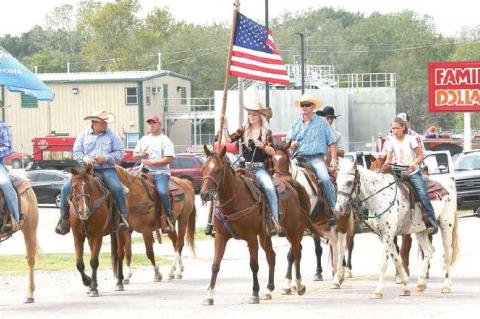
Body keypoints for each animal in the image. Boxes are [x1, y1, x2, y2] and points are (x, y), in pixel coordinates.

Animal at [68, 165, 127, 298]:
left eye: (89, 186)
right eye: (73, 187)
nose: (83, 211)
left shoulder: (97, 235)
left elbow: (94, 262)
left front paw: (93, 287)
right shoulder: (78, 236)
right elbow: (79, 264)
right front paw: (88, 282)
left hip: (120, 231)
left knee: (120, 255)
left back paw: (119, 282)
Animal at [201, 146, 310, 306]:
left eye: (219, 170)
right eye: (203, 168)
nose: (204, 194)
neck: (234, 200)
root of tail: (290, 185)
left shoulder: (251, 238)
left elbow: (254, 265)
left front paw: (254, 294)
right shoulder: (221, 236)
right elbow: (215, 265)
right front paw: (209, 296)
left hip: (292, 230)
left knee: (296, 252)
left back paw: (299, 285)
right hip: (266, 236)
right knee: (272, 256)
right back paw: (269, 290)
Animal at [336, 160, 460, 300]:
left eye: (349, 182)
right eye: (337, 181)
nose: (338, 208)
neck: (379, 197)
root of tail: (449, 182)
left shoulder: (388, 234)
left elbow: (384, 263)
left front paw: (378, 291)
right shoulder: (383, 235)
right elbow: (397, 259)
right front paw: (405, 288)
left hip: (446, 225)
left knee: (447, 254)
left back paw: (446, 286)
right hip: (421, 231)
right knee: (429, 251)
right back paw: (421, 283)